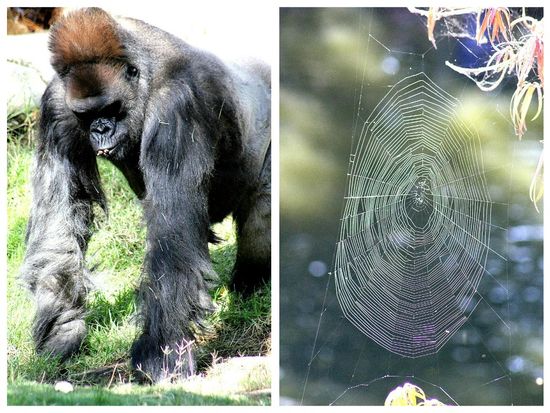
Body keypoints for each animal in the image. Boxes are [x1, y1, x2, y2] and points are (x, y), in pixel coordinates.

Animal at [20, 7, 272, 380]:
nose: (100, 130)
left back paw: (254, 286)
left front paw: (160, 352)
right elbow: (60, 218)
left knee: (261, 220)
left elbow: (172, 240)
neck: (143, 72)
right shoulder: (58, 105)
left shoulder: (176, 107)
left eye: (111, 108)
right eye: (87, 114)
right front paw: (62, 330)